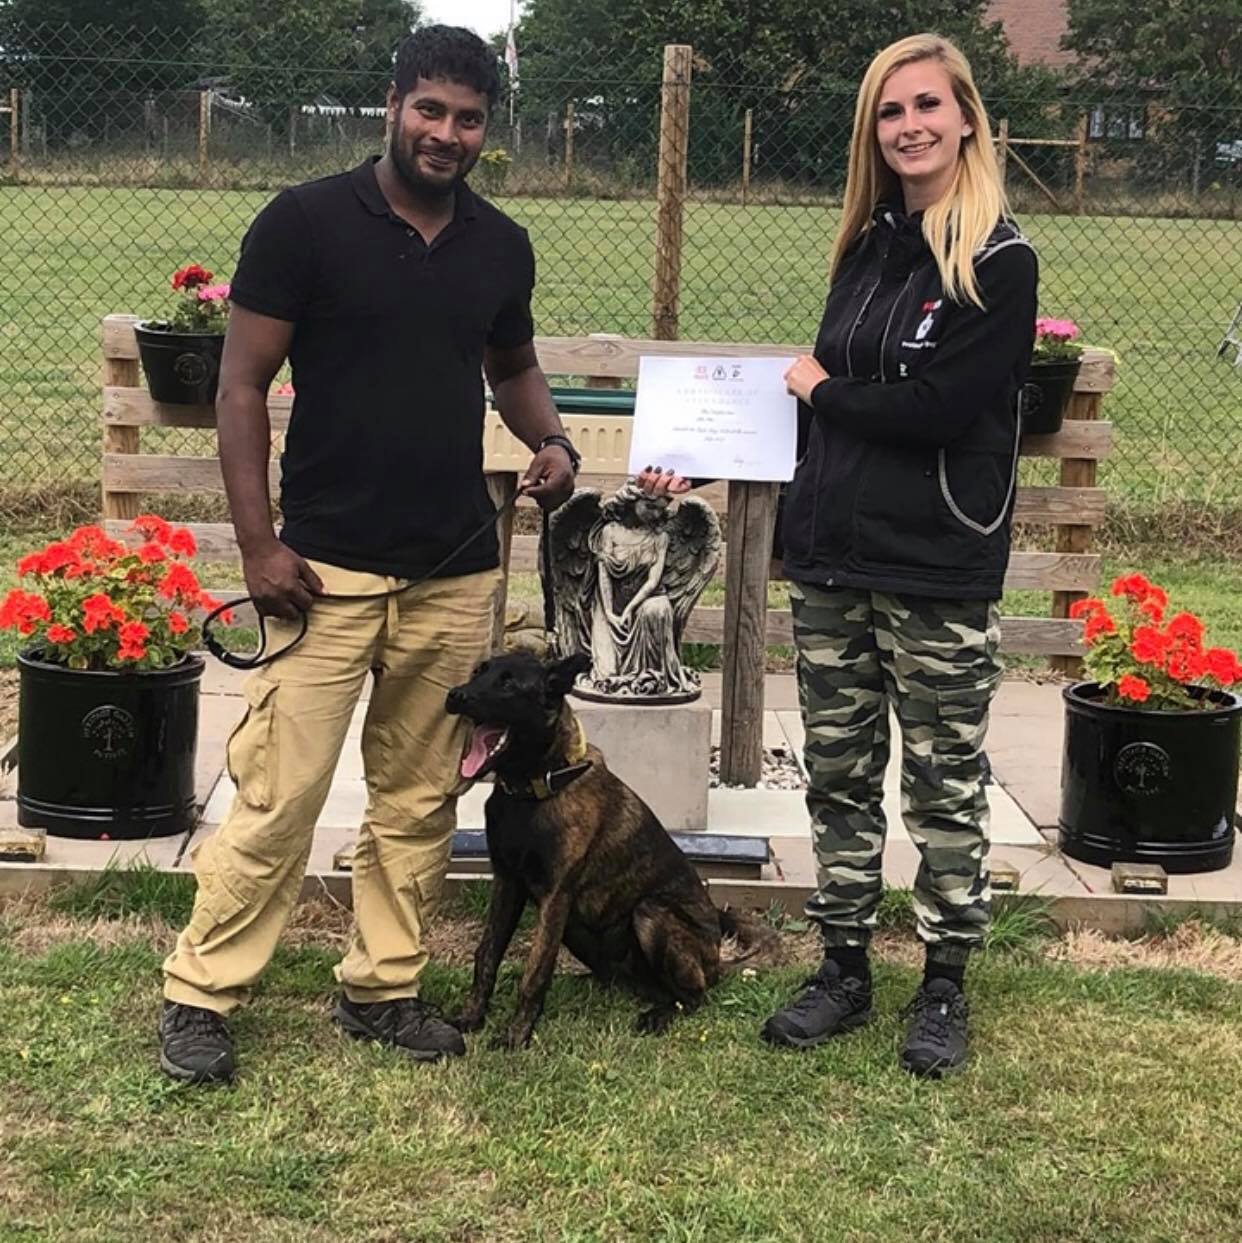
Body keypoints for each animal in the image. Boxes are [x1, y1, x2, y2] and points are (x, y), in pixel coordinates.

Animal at [447, 651, 765, 1049]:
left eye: (508, 682)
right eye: (479, 672)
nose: (454, 696)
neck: (533, 789)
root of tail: (718, 962)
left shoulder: (555, 897)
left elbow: (535, 971)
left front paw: (516, 1035)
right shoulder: (508, 884)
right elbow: (486, 954)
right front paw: (472, 1017)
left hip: (650, 913)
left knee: (694, 994)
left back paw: (660, 1014)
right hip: (577, 929)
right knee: (621, 979)